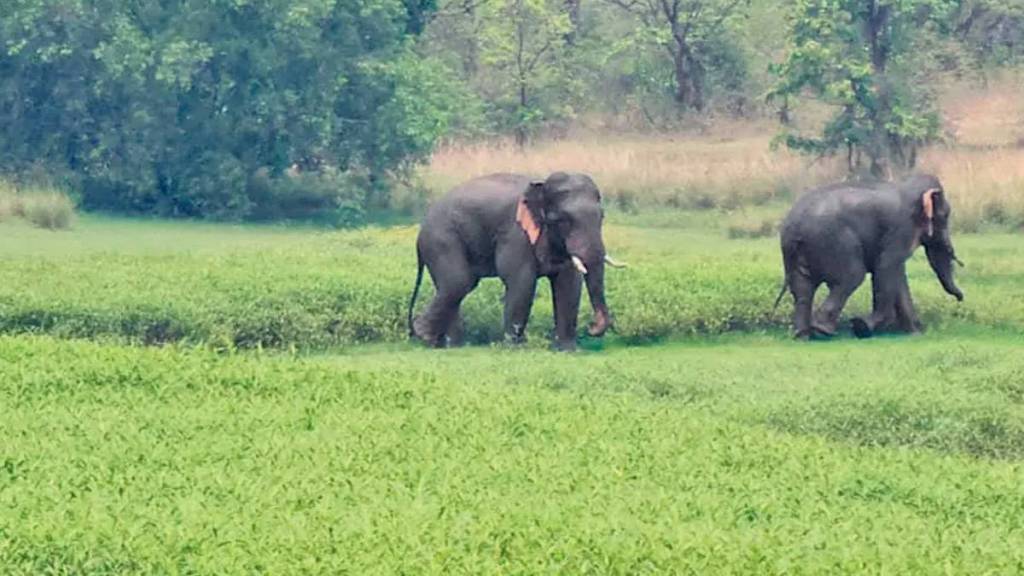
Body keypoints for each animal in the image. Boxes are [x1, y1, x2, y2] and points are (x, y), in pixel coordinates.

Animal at [407, 172, 624, 351]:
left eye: (602, 217)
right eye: (562, 220)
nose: (591, 327)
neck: (540, 185)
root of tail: (420, 230)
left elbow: (568, 283)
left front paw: (567, 349)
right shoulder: (515, 233)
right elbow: (522, 281)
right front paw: (516, 347)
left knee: (453, 287)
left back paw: (451, 344)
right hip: (441, 240)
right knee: (460, 282)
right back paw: (424, 334)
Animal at [774, 173, 964, 339]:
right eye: (945, 215)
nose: (961, 298)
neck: (906, 185)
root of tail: (793, 227)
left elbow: (897, 275)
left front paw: (916, 333)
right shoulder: (901, 227)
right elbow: (886, 267)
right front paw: (863, 326)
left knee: (802, 289)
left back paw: (802, 336)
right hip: (833, 241)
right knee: (852, 276)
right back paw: (824, 330)